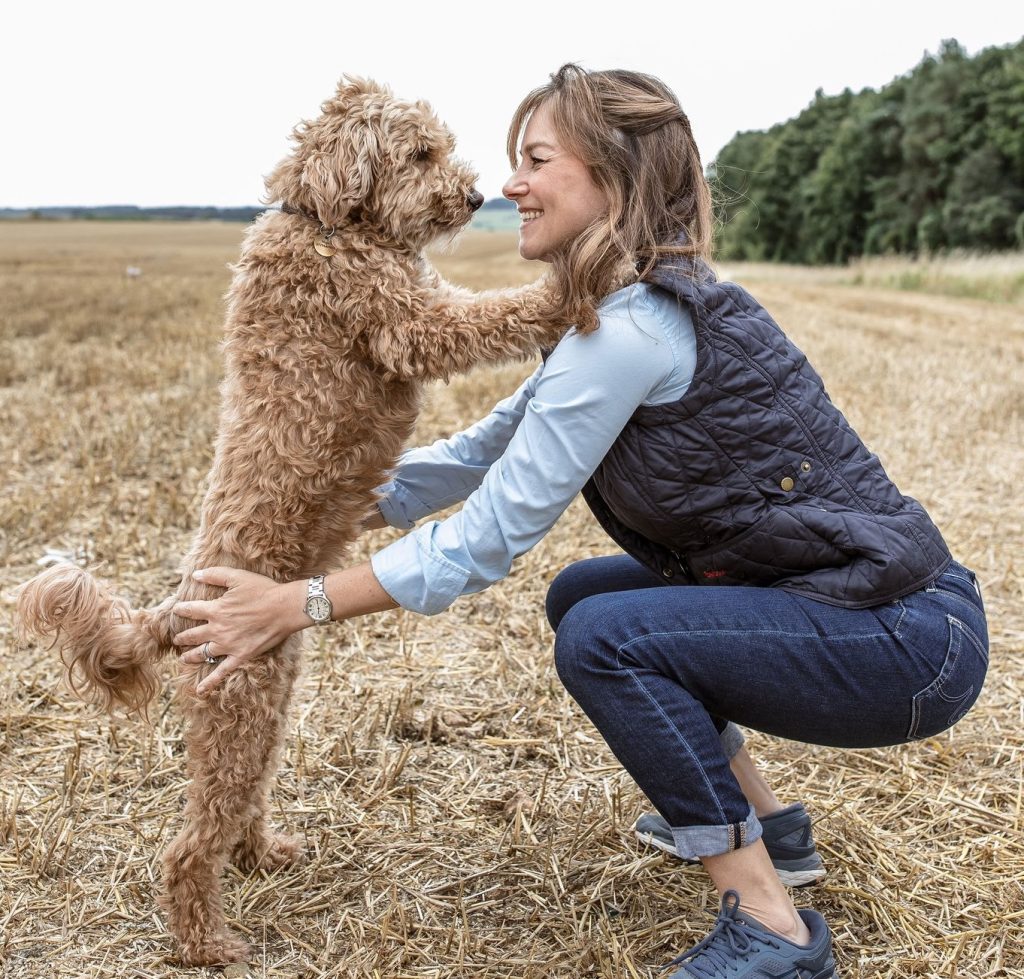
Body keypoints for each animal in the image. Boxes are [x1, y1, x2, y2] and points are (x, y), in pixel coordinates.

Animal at [16, 76, 565, 962]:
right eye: (422, 154)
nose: (477, 196)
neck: (324, 219)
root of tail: (175, 611)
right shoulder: (405, 322)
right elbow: (487, 315)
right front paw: (569, 292)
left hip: (269, 704)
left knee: (241, 807)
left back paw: (263, 854)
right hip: (239, 711)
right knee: (188, 844)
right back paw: (206, 942)